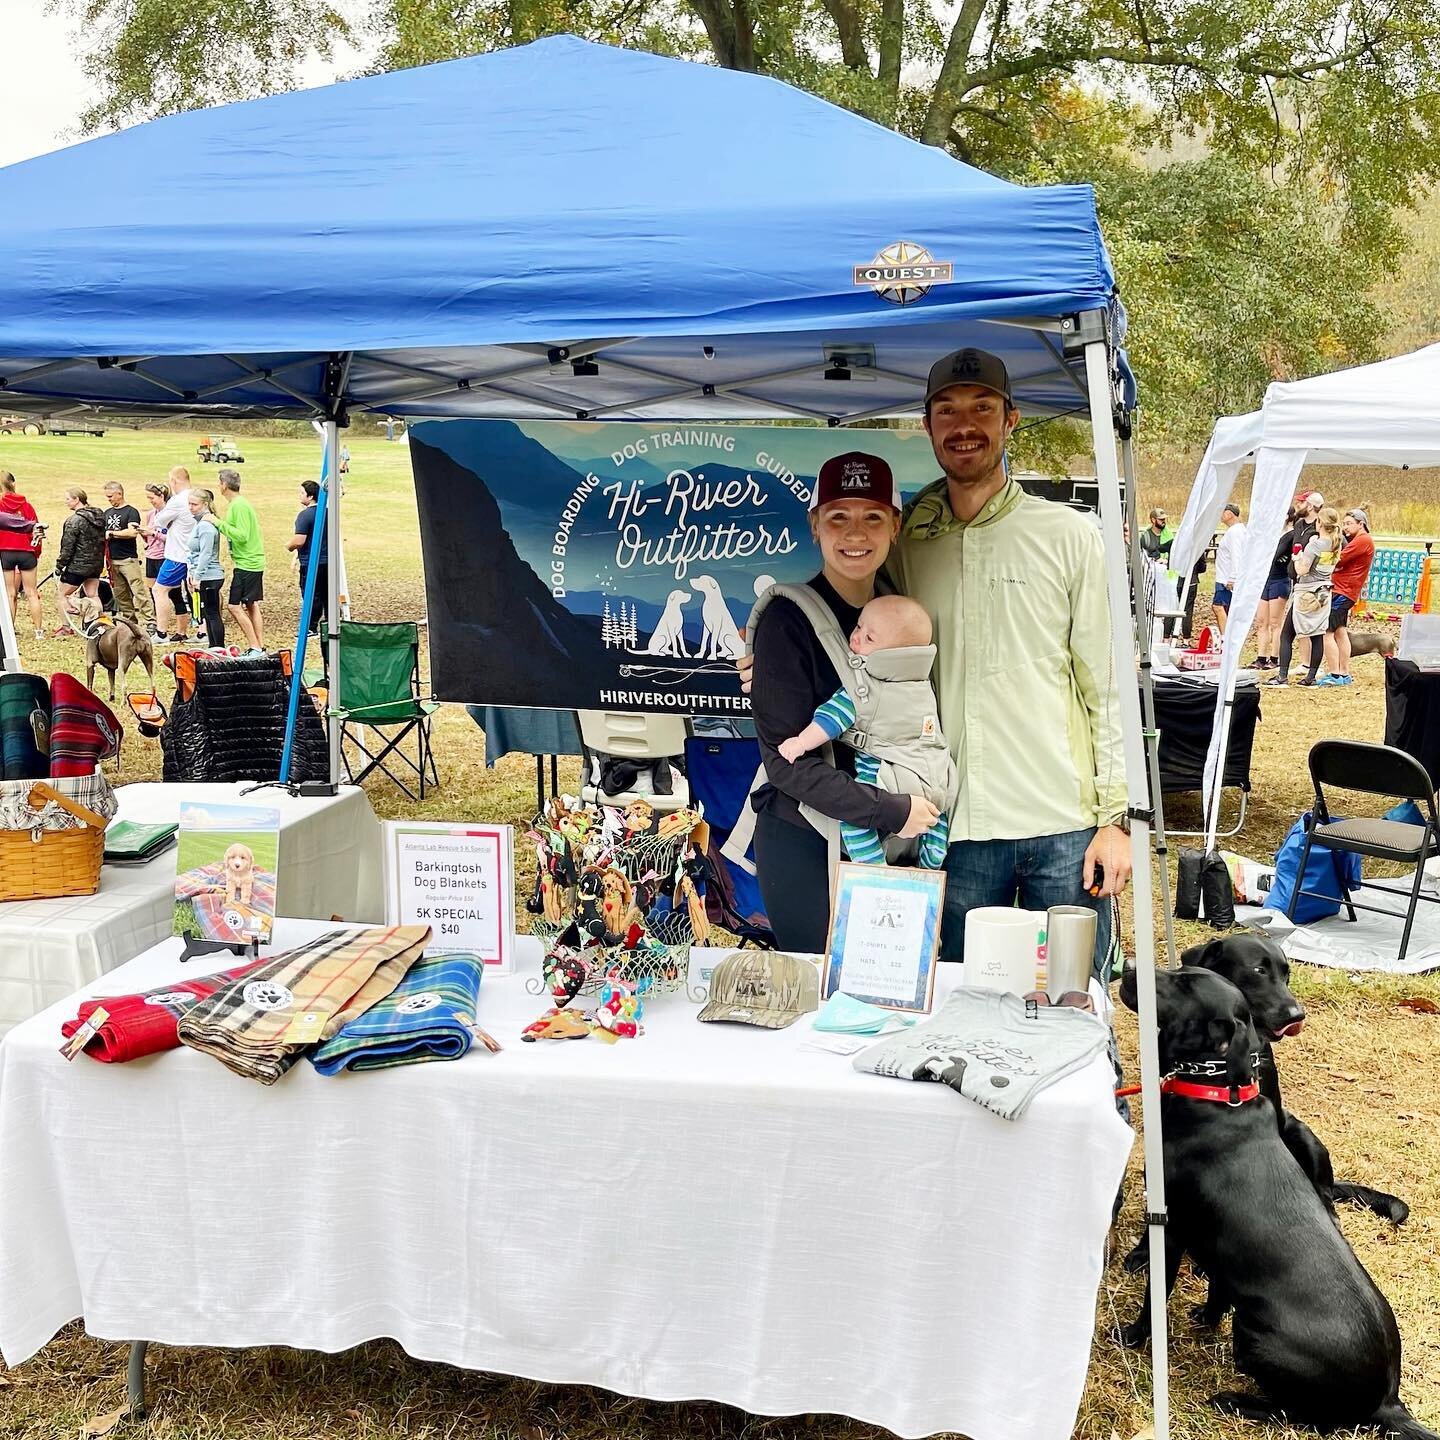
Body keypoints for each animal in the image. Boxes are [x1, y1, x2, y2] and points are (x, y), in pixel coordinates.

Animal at [1111, 961, 1428, 1434]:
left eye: (1184, 983)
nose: (1129, 967)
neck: (1215, 1097)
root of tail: (1386, 1402)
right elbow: (1218, 1287)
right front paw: (1205, 1318)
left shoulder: (1170, 1229)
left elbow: (1154, 1299)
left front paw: (1131, 1337)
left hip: (1255, 1338)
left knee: (1298, 1416)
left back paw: (1235, 1401)